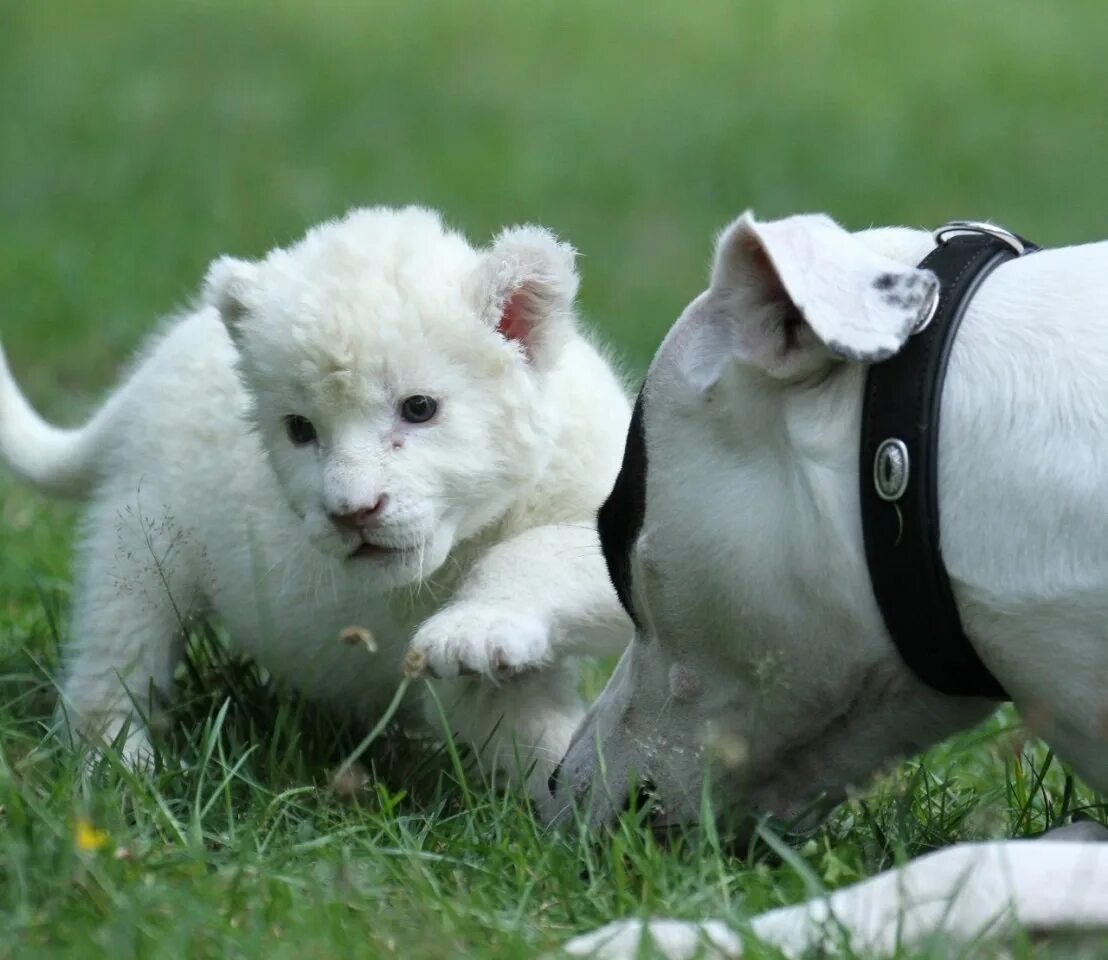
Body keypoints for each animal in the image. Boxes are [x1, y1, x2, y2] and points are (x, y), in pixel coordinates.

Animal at [0, 206, 633, 798]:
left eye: (419, 408)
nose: (352, 513)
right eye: (300, 429)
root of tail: (144, 377)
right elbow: (519, 715)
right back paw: (123, 774)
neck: (488, 519)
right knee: (110, 668)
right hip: (139, 555)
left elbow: (543, 556)